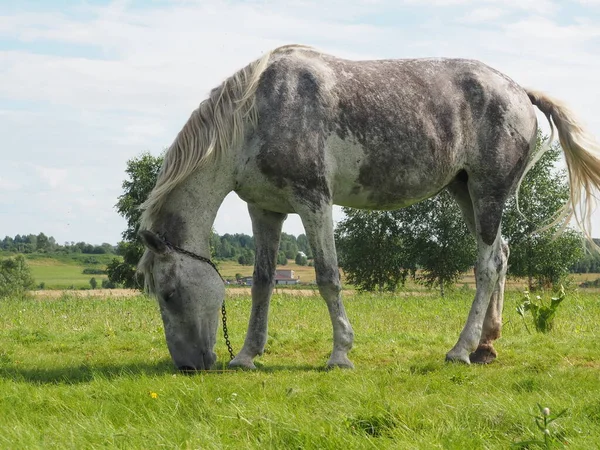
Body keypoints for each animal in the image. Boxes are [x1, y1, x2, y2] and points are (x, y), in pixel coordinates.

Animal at [137, 44, 600, 372]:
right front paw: (247, 355)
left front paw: (340, 354)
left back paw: (460, 350)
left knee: (486, 267)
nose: (189, 365)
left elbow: (328, 278)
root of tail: (519, 90)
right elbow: (262, 283)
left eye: (169, 293)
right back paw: (486, 346)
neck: (257, 116)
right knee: (502, 256)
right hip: (467, 193)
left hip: (488, 193)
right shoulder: (265, 210)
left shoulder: (314, 202)